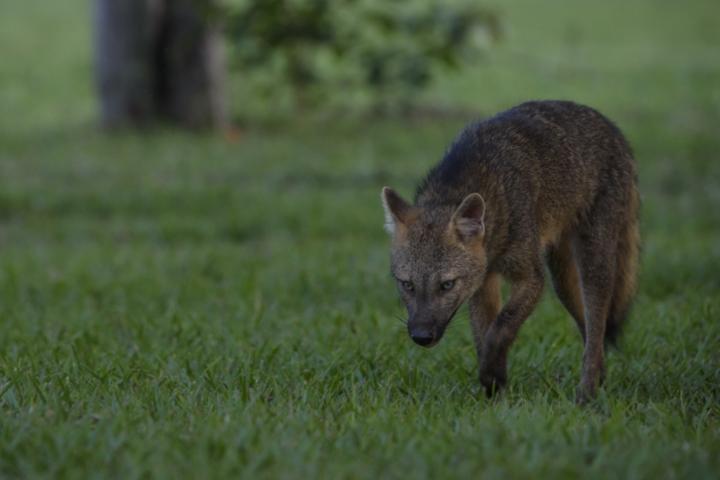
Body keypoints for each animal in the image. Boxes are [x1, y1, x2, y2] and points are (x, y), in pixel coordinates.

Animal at [381, 100, 640, 403]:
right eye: (407, 285)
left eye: (446, 285)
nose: (421, 337)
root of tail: (611, 126)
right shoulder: (484, 283)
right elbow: (485, 335)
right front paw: (494, 391)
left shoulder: (531, 277)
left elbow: (501, 326)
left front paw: (492, 374)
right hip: (563, 281)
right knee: (590, 334)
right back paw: (599, 381)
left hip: (592, 265)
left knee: (597, 330)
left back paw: (586, 394)